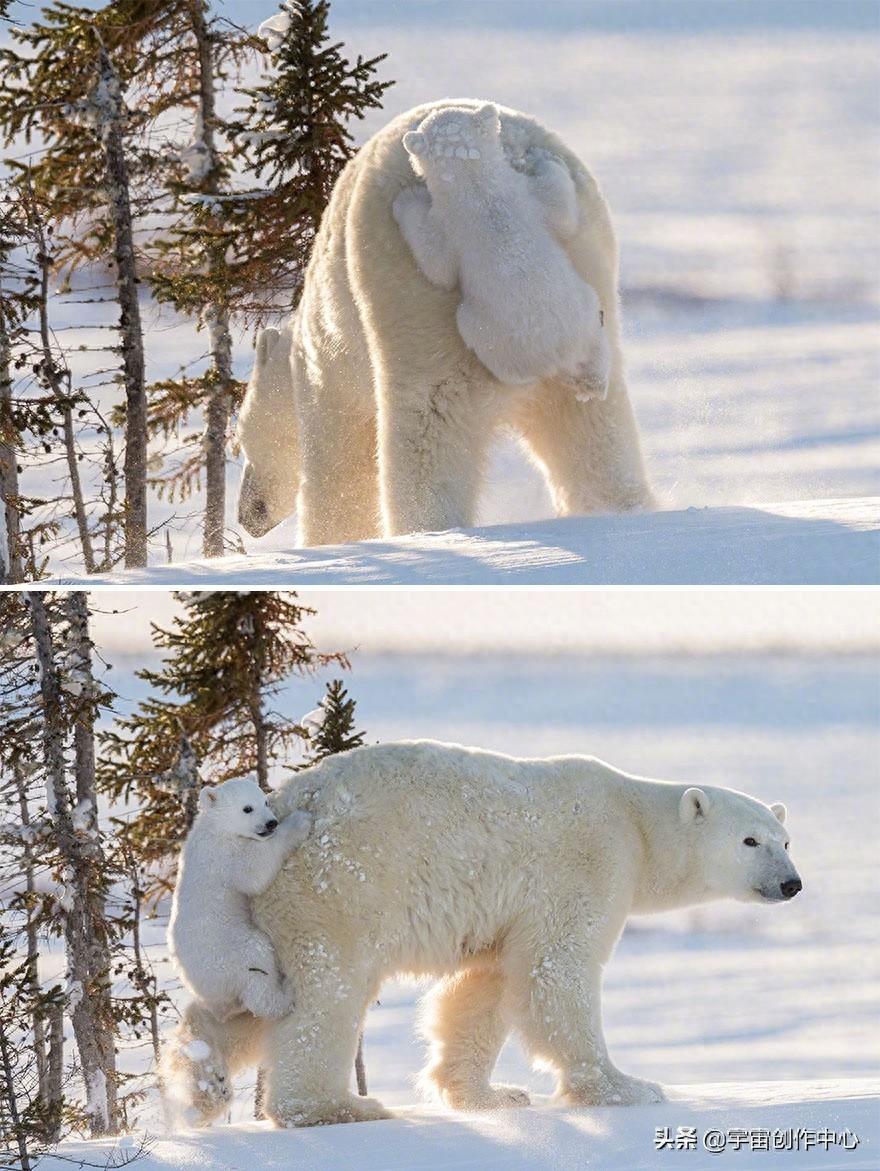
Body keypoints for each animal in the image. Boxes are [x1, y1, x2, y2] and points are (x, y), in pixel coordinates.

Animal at [192, 740, 796, 1124]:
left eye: (785, 839)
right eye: (750, 840)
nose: (791, 883)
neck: (635, 821)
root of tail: (279, 806)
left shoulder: (505, 913)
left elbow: (485, 987)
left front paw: (492, 1095)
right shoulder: (588, 863)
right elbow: (557, 972)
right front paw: (629, 1087)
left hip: (259, 916)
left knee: (249, 997)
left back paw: (202, 1073)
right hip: (334, 890)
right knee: (325, 996)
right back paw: (334, 1107)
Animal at [237, 98, 656, 545]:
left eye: (239, 440)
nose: (247, 516)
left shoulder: (328, 370)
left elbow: (339, 469)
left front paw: (331, 541)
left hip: (410, 299)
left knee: (427, 426)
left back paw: (427, 529)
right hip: (589, 272)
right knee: (594, 431)